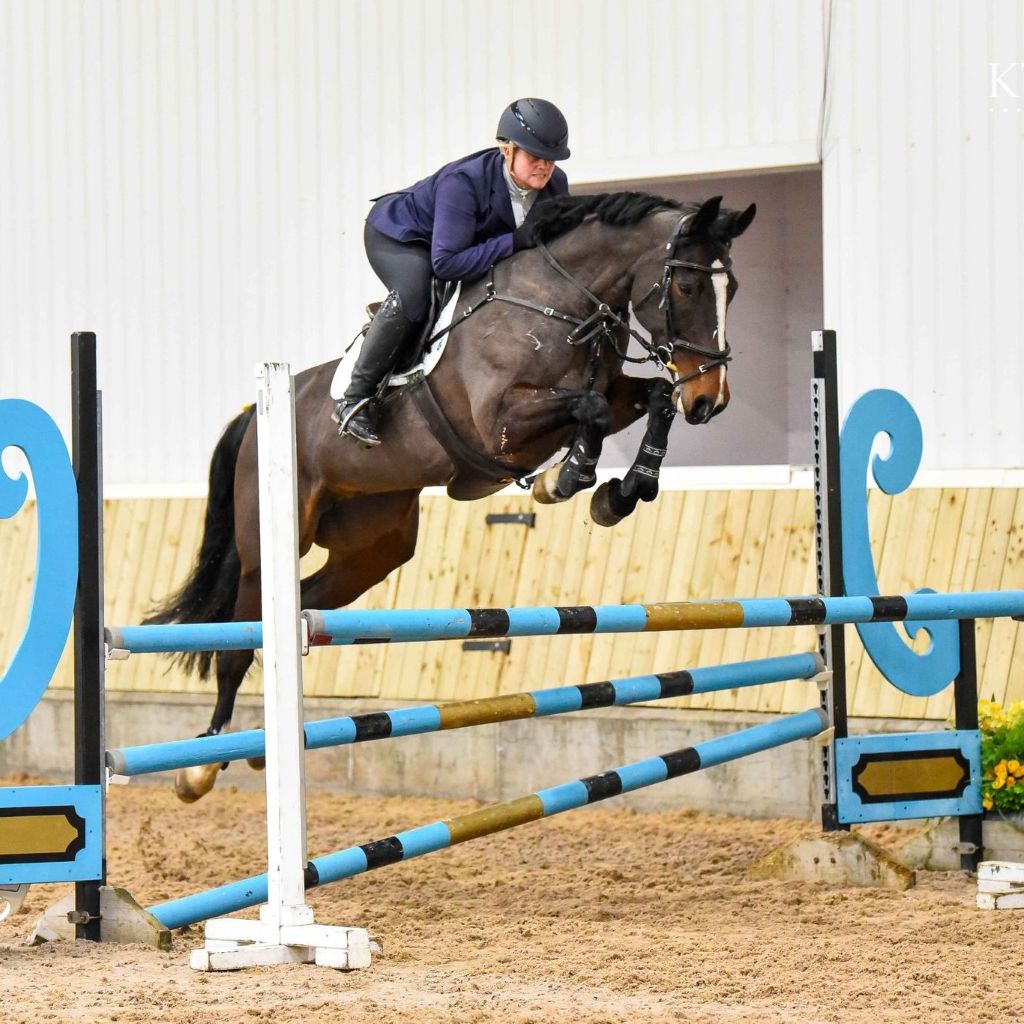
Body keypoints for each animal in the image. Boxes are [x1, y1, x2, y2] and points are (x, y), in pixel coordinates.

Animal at [148, 191, 756, 801]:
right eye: (687, 286)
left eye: (733, 289)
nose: (712, 399)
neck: (562, 301)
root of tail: (254, 413)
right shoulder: (500, 422)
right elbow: (593, 408)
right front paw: (565, 480)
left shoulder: (603, 391)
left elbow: (648, 399)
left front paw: (622, 493)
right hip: (268, 543)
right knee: (241, 637)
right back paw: (201, 765)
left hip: (372, 549)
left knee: (303, 605)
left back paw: (263, 743)